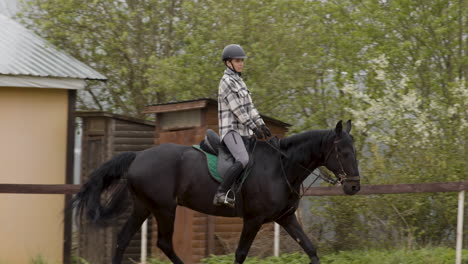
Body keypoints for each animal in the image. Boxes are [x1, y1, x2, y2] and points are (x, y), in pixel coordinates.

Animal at [73, 120, 360, 264]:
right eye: (343, 152)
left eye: (354, 151)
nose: (354, 186)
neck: (281, 167)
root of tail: (138, 156)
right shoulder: (253, 220)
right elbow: (241, 254)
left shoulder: (286, 218)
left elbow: (310, 249)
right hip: (164, 209)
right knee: (164, 243)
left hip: (144, 206)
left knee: (122, 239)